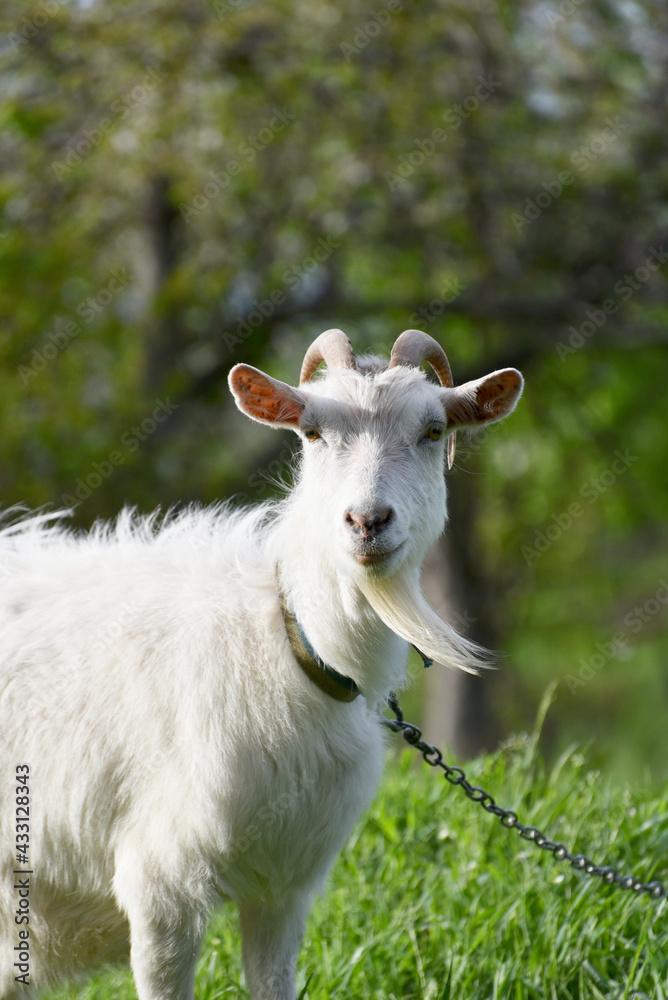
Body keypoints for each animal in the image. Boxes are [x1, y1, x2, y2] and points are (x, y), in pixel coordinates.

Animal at [0, 330, 520, 1000]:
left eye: (433, 430)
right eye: (312, 432)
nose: (367, 521)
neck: (290, 645)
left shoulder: (286, 882)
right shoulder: (160, 881)